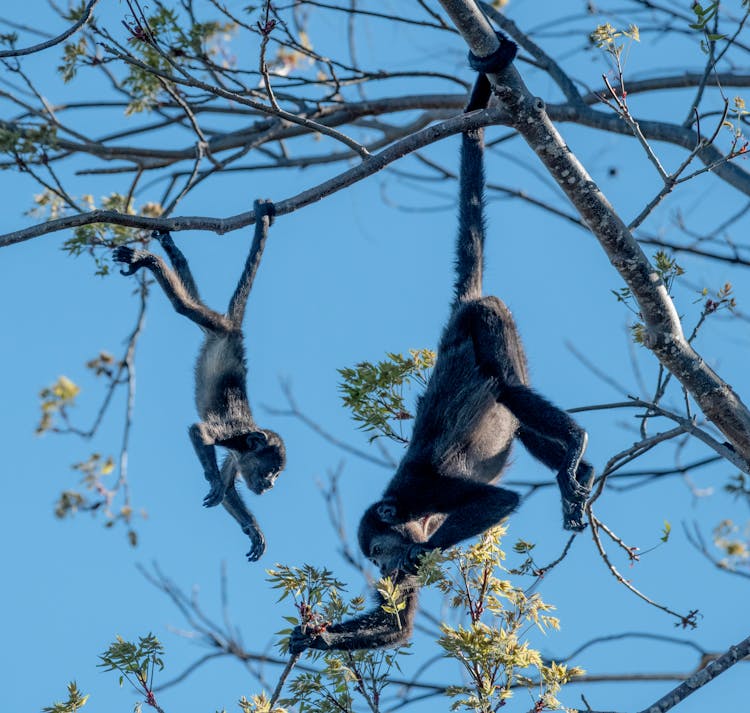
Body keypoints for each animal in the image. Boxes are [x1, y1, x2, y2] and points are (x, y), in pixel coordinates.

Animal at [113, 197, 286, 560]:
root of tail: (234, 330)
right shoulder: (234, 437)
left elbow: (231, 485)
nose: (271, 485)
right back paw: (149, 260)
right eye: (271, 471)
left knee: (189, 294)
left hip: (214, 327)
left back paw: (171, 251)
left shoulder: (237, 454)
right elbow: (199, 432)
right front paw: (213, 480)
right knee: (184, 305)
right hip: (217, 326)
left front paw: (252, 528)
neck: (249, 437)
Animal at [290, 37, 596, 652]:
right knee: (520, 415)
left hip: (491, 317)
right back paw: (578, 473)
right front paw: (312, 638)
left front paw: (423, 554)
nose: (383, 568)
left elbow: (499, 501)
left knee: (508, 385)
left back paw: (576, 447)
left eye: (377, 551)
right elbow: (398, 626)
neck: (404, 509)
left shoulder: (422, 491)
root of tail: (466, 302)